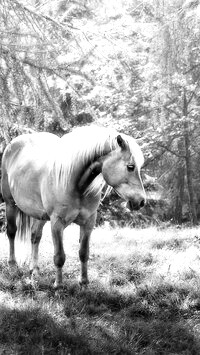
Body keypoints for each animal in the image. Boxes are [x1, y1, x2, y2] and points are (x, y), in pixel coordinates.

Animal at [0, 126, 146, 288]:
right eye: (130, 167)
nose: (141, 201)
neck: (75, 184)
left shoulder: (88, 222)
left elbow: (84, 253)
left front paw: (84, 283)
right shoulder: (57, 222)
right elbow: (59, 256)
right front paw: (58, 285)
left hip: (40, 214)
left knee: (35, 237)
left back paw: (35, 270)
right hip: (10, 204)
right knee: (11, 232)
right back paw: (13, 265)